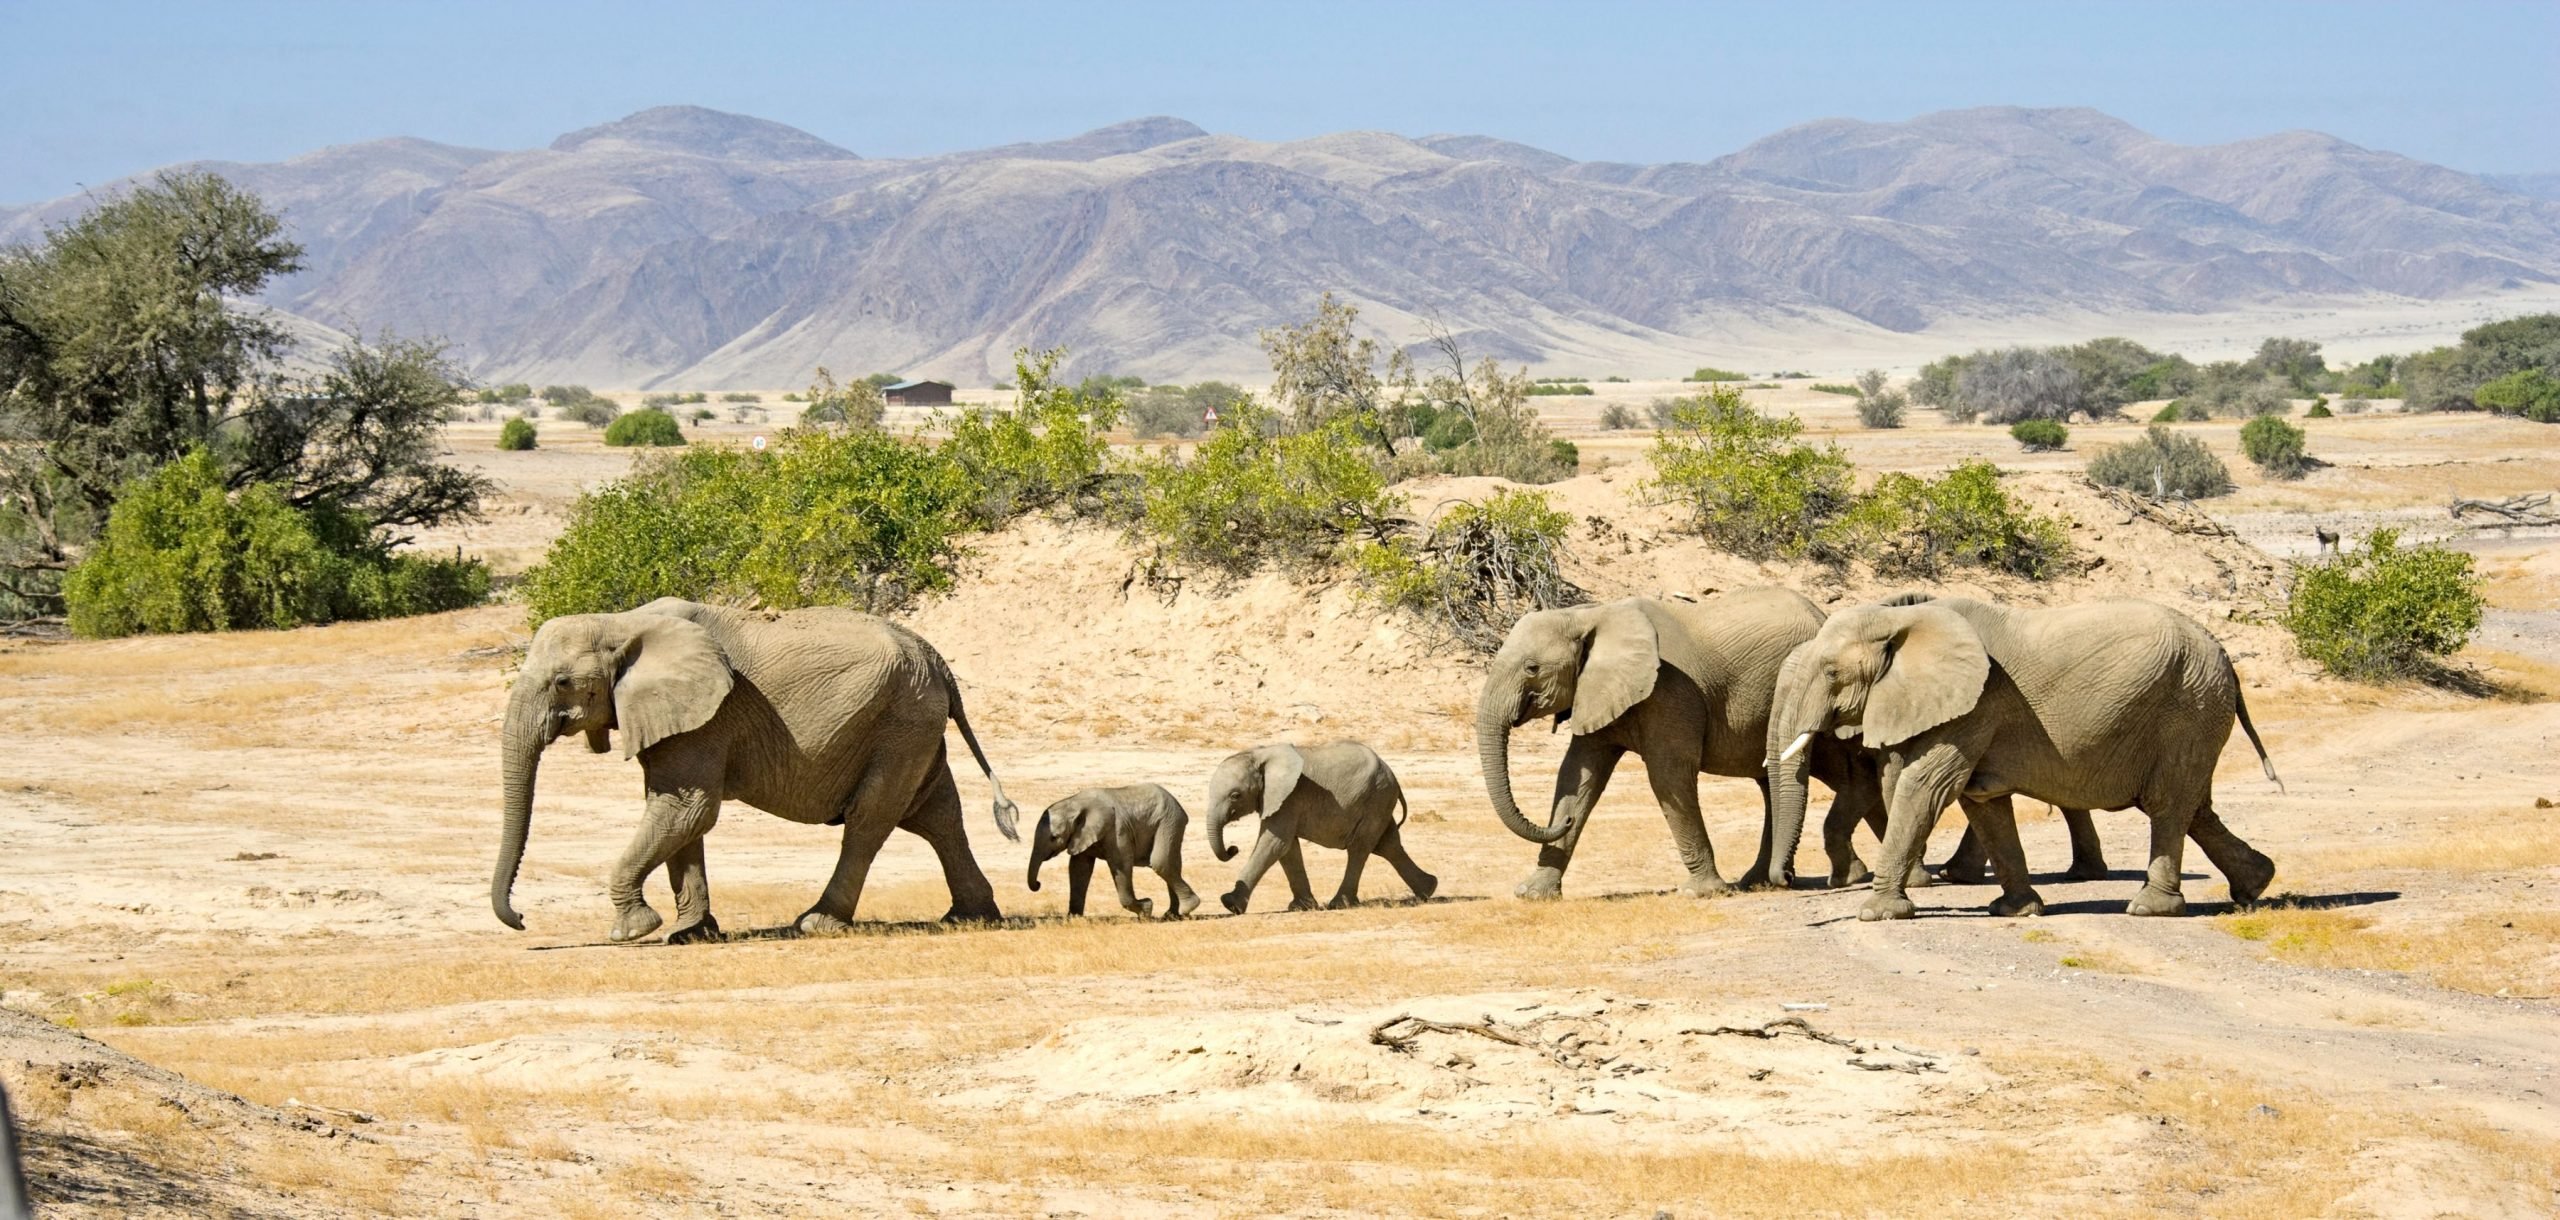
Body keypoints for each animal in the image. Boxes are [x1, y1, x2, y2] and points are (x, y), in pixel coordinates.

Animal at [488, 598, 1018, 941]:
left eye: (562, 682)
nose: (521, 919)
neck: (620, 623)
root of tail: (935, 657)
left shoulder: (707, 717)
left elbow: (688, 810)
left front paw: (633, 930)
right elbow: (681, 818)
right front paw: (691, 934)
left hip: (900, 720)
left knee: (870, 819)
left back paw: (817, 924)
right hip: (913, 722)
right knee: (936, 815)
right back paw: (969, 918)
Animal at [1018, 782, 1198, 915]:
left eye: (1054, 837)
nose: (1038, 884)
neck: (1073, 803)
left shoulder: (1117, 831)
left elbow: (1121, 864)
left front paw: (1146, 910)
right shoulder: (1082, 835)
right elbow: (1078, 869)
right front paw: (1073, 919)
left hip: (1169, 821)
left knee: (1161, 862)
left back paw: (1186, 909)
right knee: (1172, 864)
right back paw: (1172, 915)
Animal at [1203, 741, 1433, 910]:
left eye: (1235, 796)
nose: (1233, 849)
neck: (1258, 754)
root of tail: (1392, 774)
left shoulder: (1291, 797)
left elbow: (1274, 843)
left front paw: (1230, 904)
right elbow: (1287, 848)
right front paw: (1301, 908)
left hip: (1377, 798)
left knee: (1360, 847)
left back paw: (1340, 904)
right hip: (1380, 801)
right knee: (1388, 845)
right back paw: (1428, 890)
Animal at [1484, 588, 1904, 895]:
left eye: (1532, 668)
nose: (1561, 822)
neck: (1590, 615)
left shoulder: (1670, 690)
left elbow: (1668, 776)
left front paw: (1703, 892)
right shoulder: (1600, 690)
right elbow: (1578, 776)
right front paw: (1532, 893)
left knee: (1843, 774)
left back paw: (1850, 876)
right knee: (1775, 785)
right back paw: (1770, 880)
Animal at [1761, 593, 2283, 915]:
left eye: (1832, 673)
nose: (1784, 881)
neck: (1901, 621)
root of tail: (2224, 654)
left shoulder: (1975, 704)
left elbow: (1927, 787)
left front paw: (1876, 912)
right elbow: (1982, 802)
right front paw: (2014, 910)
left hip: (2189, 707)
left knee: (2168, 805)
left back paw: (2150, 908)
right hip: (2196, 712)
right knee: (2195, 807)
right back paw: (2256, 886)